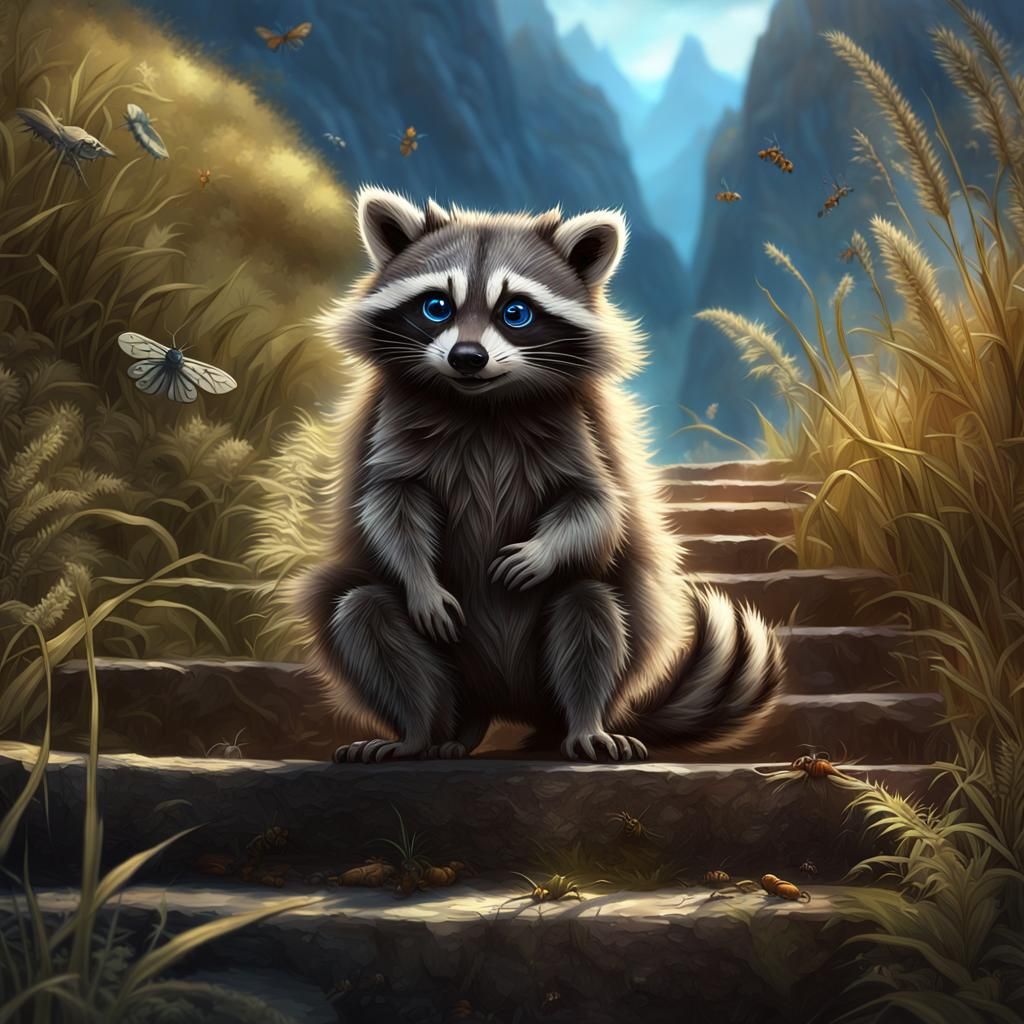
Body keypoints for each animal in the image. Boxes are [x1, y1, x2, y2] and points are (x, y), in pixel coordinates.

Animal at [299, 186, 784, 763]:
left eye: (516, 312)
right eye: (437, 306)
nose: (467, 357)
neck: (481, 405)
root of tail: (500, 704)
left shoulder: (581, 427)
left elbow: (597, 503)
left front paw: (540, 553)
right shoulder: (392, 421)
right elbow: (391, 500)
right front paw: (419, 578)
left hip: (586, 651)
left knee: (589, 608)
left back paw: (583, 723)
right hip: (444, 671)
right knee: (364, 616)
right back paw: (420, 733)